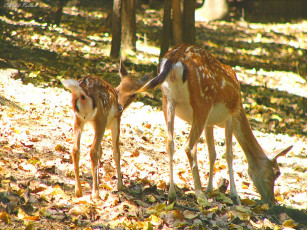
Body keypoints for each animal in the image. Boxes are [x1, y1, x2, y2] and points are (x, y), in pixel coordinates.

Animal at [62, 61, 152, 199]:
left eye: (133, 94)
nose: (120, 108)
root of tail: (82, 93)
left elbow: (102, 150)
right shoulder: (116, 122)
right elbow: (116, 152)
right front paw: (120, 186)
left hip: (77, 118)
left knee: (75, 149)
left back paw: (78, 191)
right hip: (101, 117)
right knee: (93, 151)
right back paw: (95, 193)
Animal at [139, 44, 294, 204]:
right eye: (276, 172)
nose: (272, 200)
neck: (240, 108)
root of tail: (176, 57)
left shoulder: (209, 123)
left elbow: (212, 153)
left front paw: (210, 189)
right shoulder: (231, 116)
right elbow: (229, 154)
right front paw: (234, 195)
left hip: (168, 100)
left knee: (170, 143)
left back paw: (172, 195)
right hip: (203, 101)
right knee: (188, 146)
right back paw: (199, 194)